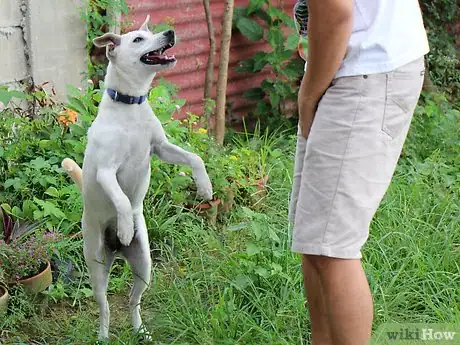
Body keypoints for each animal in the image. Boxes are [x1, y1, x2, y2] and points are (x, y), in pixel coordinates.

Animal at [61, 15, 214, 338]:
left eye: (151, 32)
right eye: (138, 40)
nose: (170, 32)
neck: (129, 105)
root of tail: (117, 253)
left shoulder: (161, 148)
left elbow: (194, 158)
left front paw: (205, 187)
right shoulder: (107, 171)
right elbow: (120, 198)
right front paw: (125, 227)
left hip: (144, 266)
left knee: (134, 301)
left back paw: (140, 331)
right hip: (97, 268)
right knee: (105, 307)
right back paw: (103, 336)